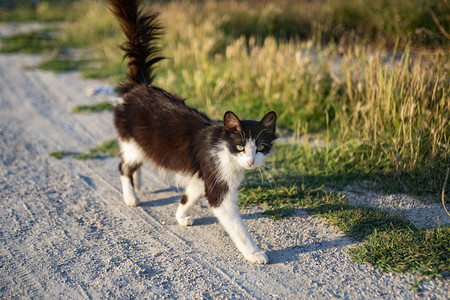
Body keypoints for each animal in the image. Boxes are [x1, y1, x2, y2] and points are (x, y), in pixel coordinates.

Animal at [109, 0, 278, 264]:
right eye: (240, 146)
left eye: (260, 148)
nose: (251, 162)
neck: (224, 151)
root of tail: (139, 85)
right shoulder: (218, 185)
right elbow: (238, 227)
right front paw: (254, 253)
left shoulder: (202, 175)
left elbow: (190, 195)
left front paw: (180, 216)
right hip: (130, 141)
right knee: (123, 166)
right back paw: (131, 196)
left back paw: (140, 183)